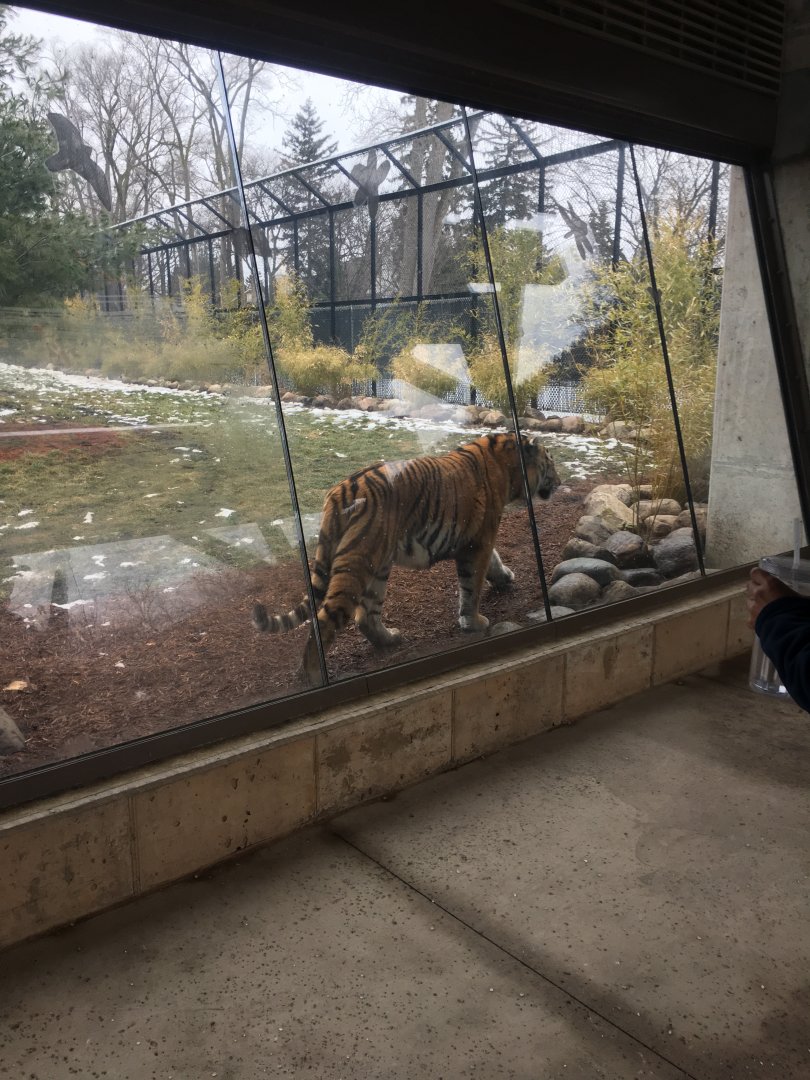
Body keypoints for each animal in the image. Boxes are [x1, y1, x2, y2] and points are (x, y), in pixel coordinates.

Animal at [253, 431, 561, 682]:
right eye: (551, 462)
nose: (559, 482)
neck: (508, 466)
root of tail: (339, 491)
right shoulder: (480, 541)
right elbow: (472, 586)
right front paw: (473, 622)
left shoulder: (477, 539)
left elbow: (494, 562)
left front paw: (505, 578)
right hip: (357, 564)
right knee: (328, 618)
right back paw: (313, 674)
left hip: (378, 566)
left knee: (366, 616)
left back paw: (389, 640)